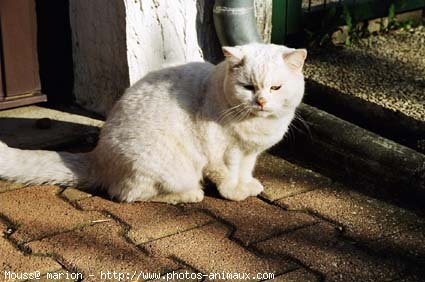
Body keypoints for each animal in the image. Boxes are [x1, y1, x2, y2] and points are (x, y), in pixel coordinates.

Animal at [0, 43, 304, 203]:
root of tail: (96, 156)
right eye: (248, 87)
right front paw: (235, 193)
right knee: (130, 194)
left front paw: (248, 185)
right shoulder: (224, 155)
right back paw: (191, 194)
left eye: (275, 88)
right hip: (167, 169)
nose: (261, 101)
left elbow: (244, 171)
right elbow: (228, 177)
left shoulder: (248, 153)